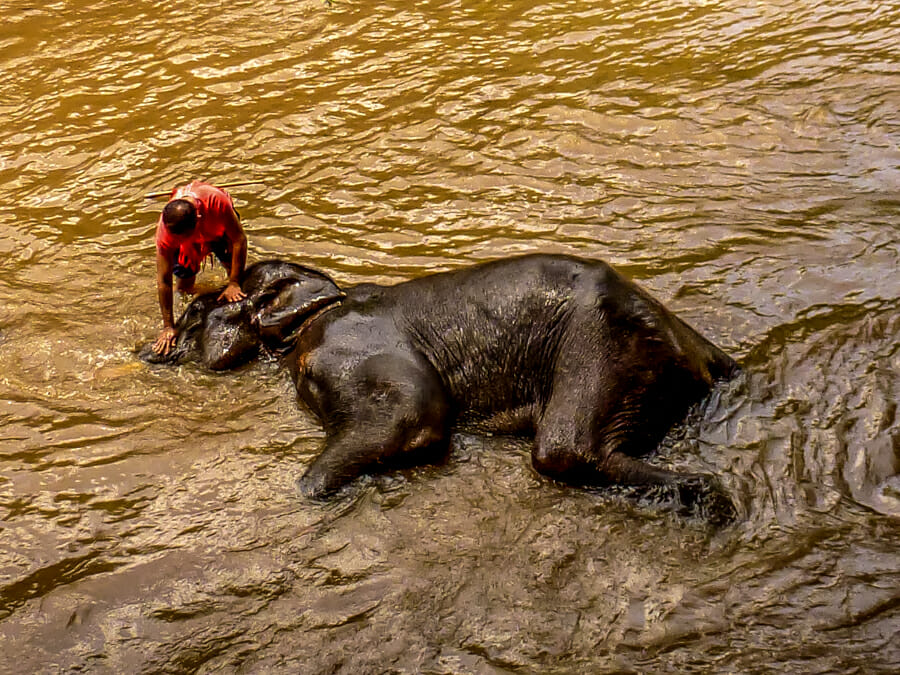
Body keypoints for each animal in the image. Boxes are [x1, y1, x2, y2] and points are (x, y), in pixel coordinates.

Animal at [141, 254, 739, 520]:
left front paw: (303, 497)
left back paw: (706, 500)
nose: (149, 352)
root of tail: (702, 352)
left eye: (194, 313)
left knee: (563, 452)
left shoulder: (340, 346)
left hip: (603, 345)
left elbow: (414, 417)